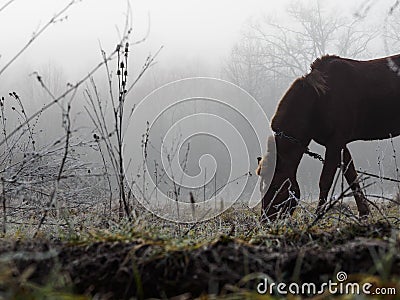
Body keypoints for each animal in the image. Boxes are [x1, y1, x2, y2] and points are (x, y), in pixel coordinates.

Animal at [256, 54, 400, 221]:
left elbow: (325, 181)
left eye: (274, 186)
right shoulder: (340, 144)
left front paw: (318, 215)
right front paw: (364, 213)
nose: (265, 220)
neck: (317, 101)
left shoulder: (335, 142)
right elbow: (351, 176)